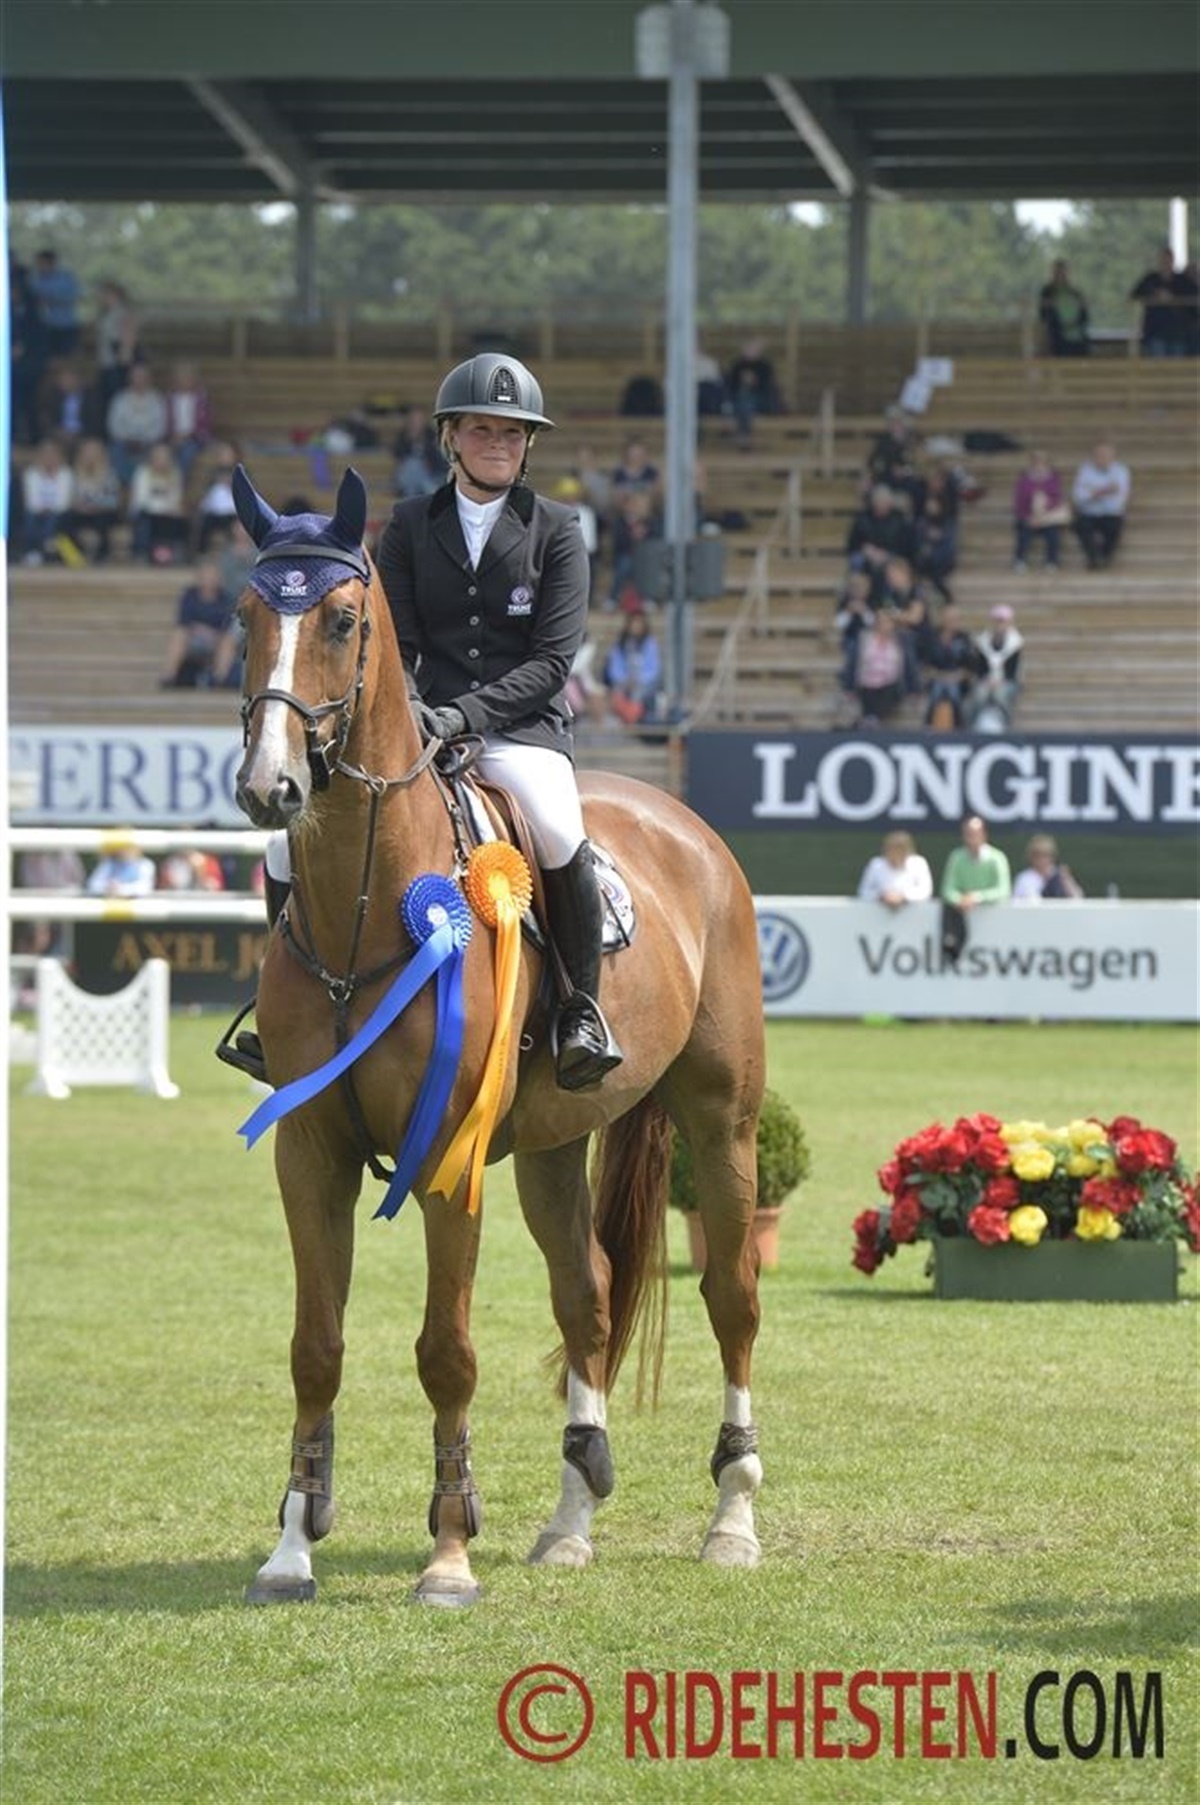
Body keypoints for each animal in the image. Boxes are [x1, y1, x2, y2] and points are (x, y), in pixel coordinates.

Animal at [230, 465, 766, 1606]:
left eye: (343, 620)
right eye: (247, 614)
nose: (270, 785)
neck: (367, 907)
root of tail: (680, 821)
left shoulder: (447, 1151)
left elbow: (447, 1350)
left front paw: (447, 1553)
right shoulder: (310, 1147)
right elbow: (316, 1345)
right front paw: (293, 1544)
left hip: (722, 1122)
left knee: (732, 1299)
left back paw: (733, 1518)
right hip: (556, 1149)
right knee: (589, 1302)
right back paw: (570, 1520)